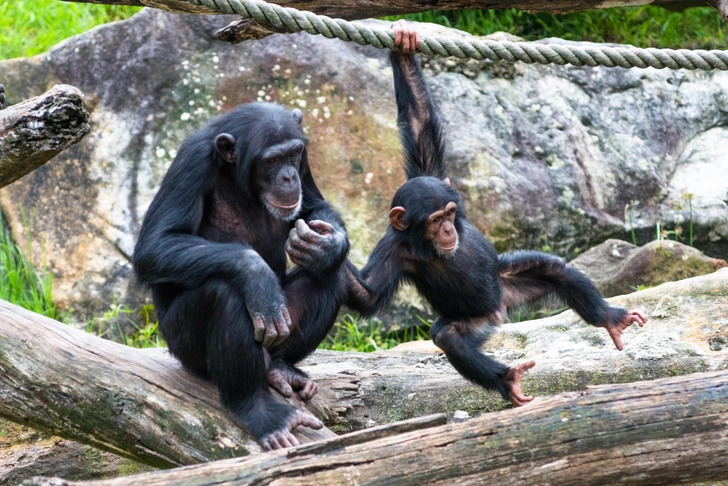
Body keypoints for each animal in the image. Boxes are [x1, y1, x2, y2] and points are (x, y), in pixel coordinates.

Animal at [138, 101, 354, 448]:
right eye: (272, 161)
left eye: (293, 154)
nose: (289, 176)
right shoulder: (192, 162)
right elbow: (156, 243)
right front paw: (257, 276)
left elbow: (313, 205)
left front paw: (326, 245)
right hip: (183, 348)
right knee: (224, 292)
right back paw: (261, 412)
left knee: (331, 275)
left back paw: (282, 370)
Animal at [346, 22, 648, 408]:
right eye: (434, 221)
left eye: (450, 213)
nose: (448, 231)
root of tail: (498, 310)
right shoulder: (392, 250)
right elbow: (367, 293)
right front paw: (318, 248)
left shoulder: (433, 174)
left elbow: (420, 123)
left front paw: (403, 47)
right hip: (473, 319)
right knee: (448, 337)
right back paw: (507, 380)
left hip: (506, 281)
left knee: (555, 269)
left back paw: (610, 318)